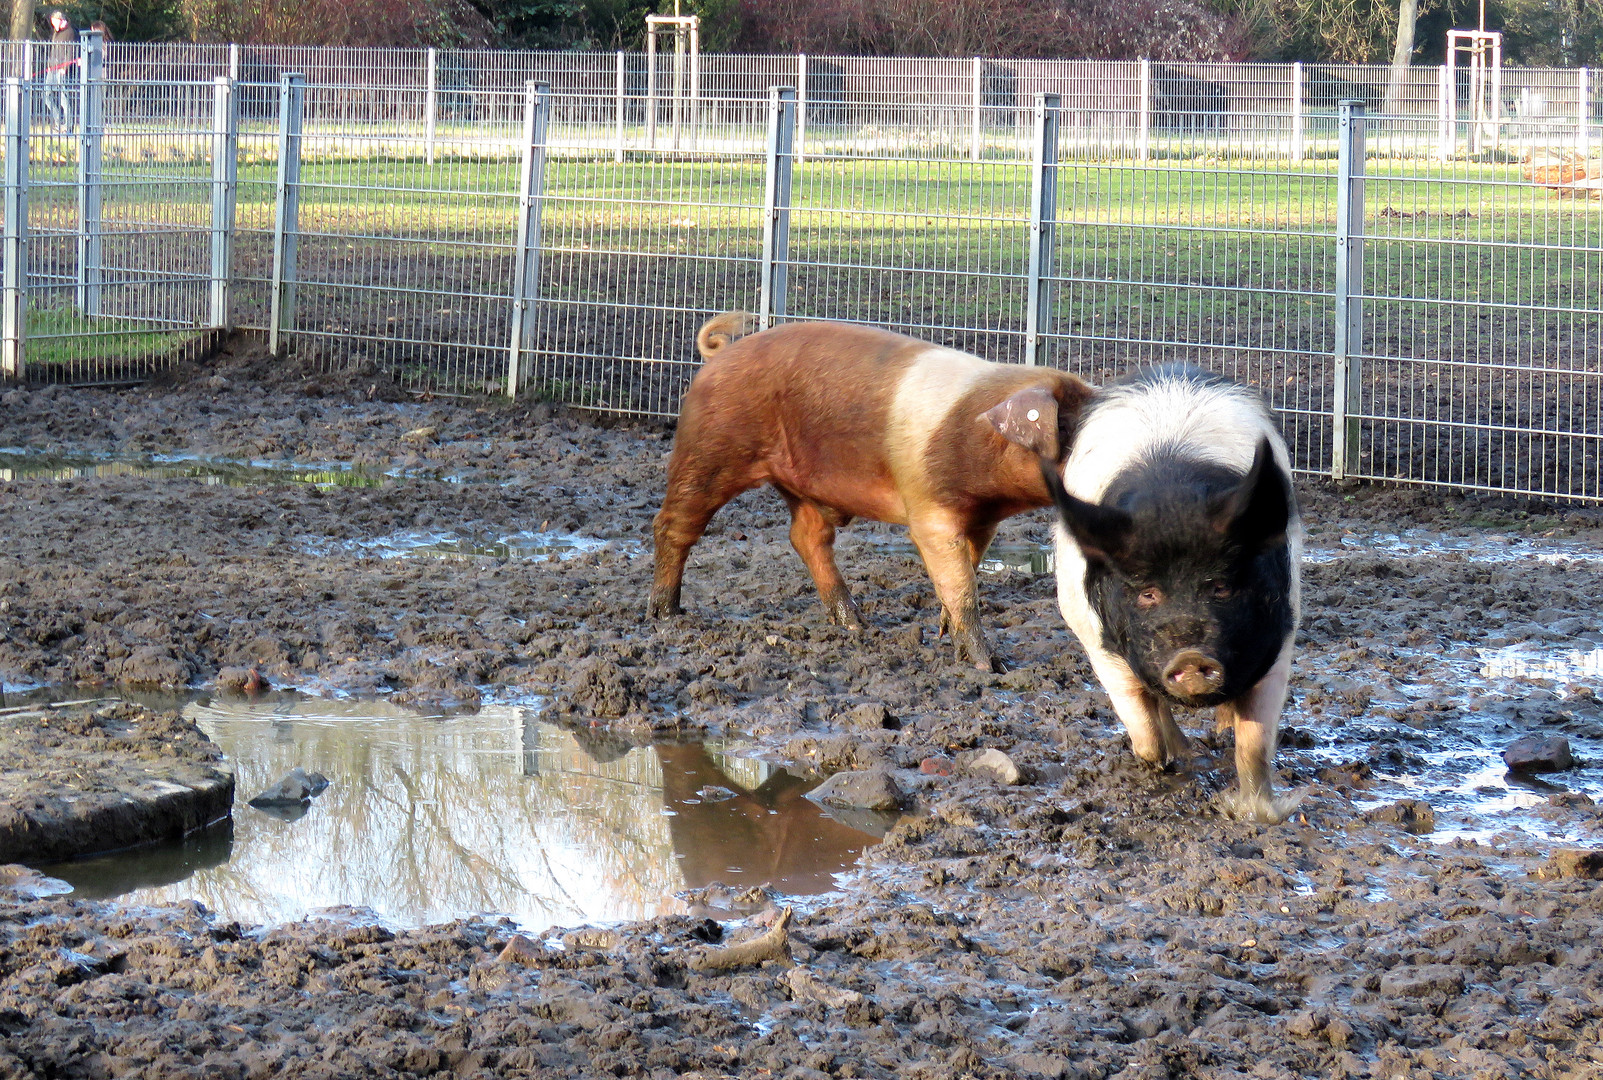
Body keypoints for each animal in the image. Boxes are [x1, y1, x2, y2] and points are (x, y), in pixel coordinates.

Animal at [644, 307, 1096, 669]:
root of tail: (719, 355)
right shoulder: (929, 506)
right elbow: (961, 585)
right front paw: (992, 667)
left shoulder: (984, 520)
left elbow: (965, 570)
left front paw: (942, 632)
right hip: (708, 451)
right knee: (673, 525)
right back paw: (667, 615)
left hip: (802, 486)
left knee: (806, 538)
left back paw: (857, 626)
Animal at [1025, 365, 1301, 820]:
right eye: (1147, 592)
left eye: (1221, 585)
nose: (1190, 657)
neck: (1173, 502)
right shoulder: (1102, 646)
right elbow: (1145, 730)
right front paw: (1169, 768)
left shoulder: (1280, 638)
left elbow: (1254, 745)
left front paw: (1255, 814)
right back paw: (1184, 750)